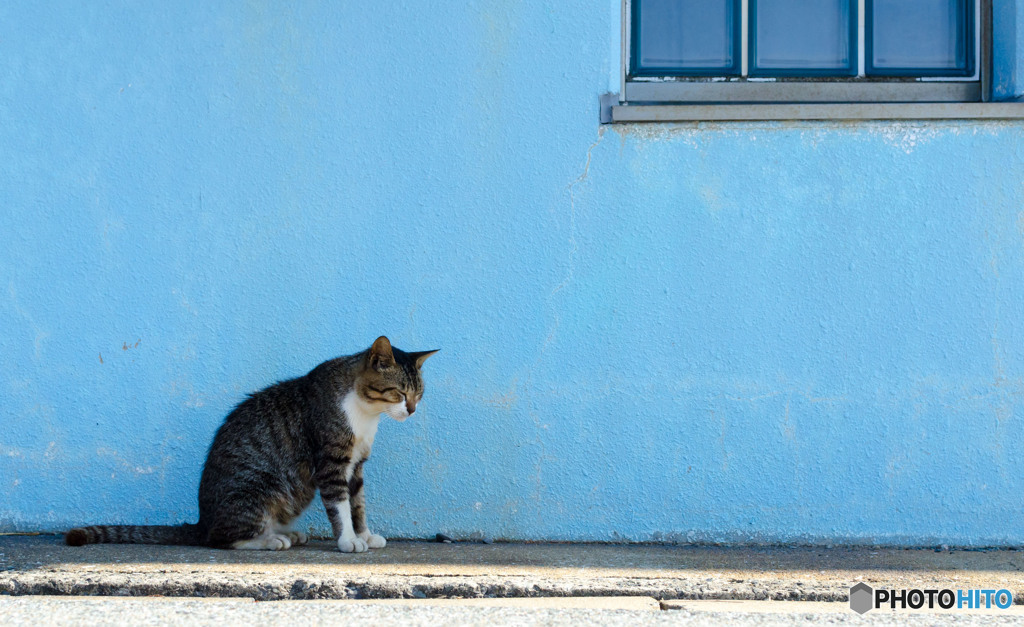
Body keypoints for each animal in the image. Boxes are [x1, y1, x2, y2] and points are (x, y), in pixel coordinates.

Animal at [62, 336, 440, 549]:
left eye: (419, 393)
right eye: (399, 392)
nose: (412, 409)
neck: (365, 414)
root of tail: (202, 522)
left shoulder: (356, 466)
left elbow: (358, 505)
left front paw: (364, 535)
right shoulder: (332, 462)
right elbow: (340, 505)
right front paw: (348, 540)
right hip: (262, 487)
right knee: (222, 540)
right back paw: (271, 540)